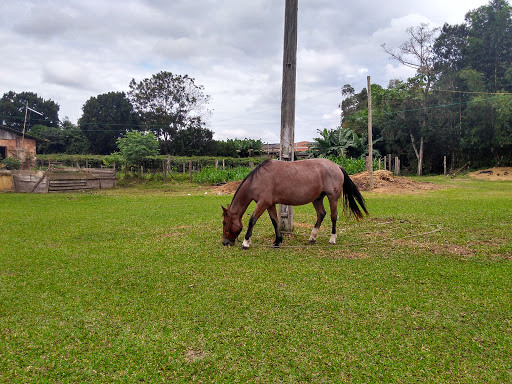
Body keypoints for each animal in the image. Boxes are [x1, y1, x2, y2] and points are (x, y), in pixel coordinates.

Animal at [221, 157, 368, 249]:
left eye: (224, 223)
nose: (224, 242)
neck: (258, 179)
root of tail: (337, 166)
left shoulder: (263, 203)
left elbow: (252, 220)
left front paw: (245, 243)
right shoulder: (270, 204)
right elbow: (275, 222)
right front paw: (277, 241)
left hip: (333, 198)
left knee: (333, 217)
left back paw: (332, 239)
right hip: (317, 199)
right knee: (321, 214)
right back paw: (312, 238)